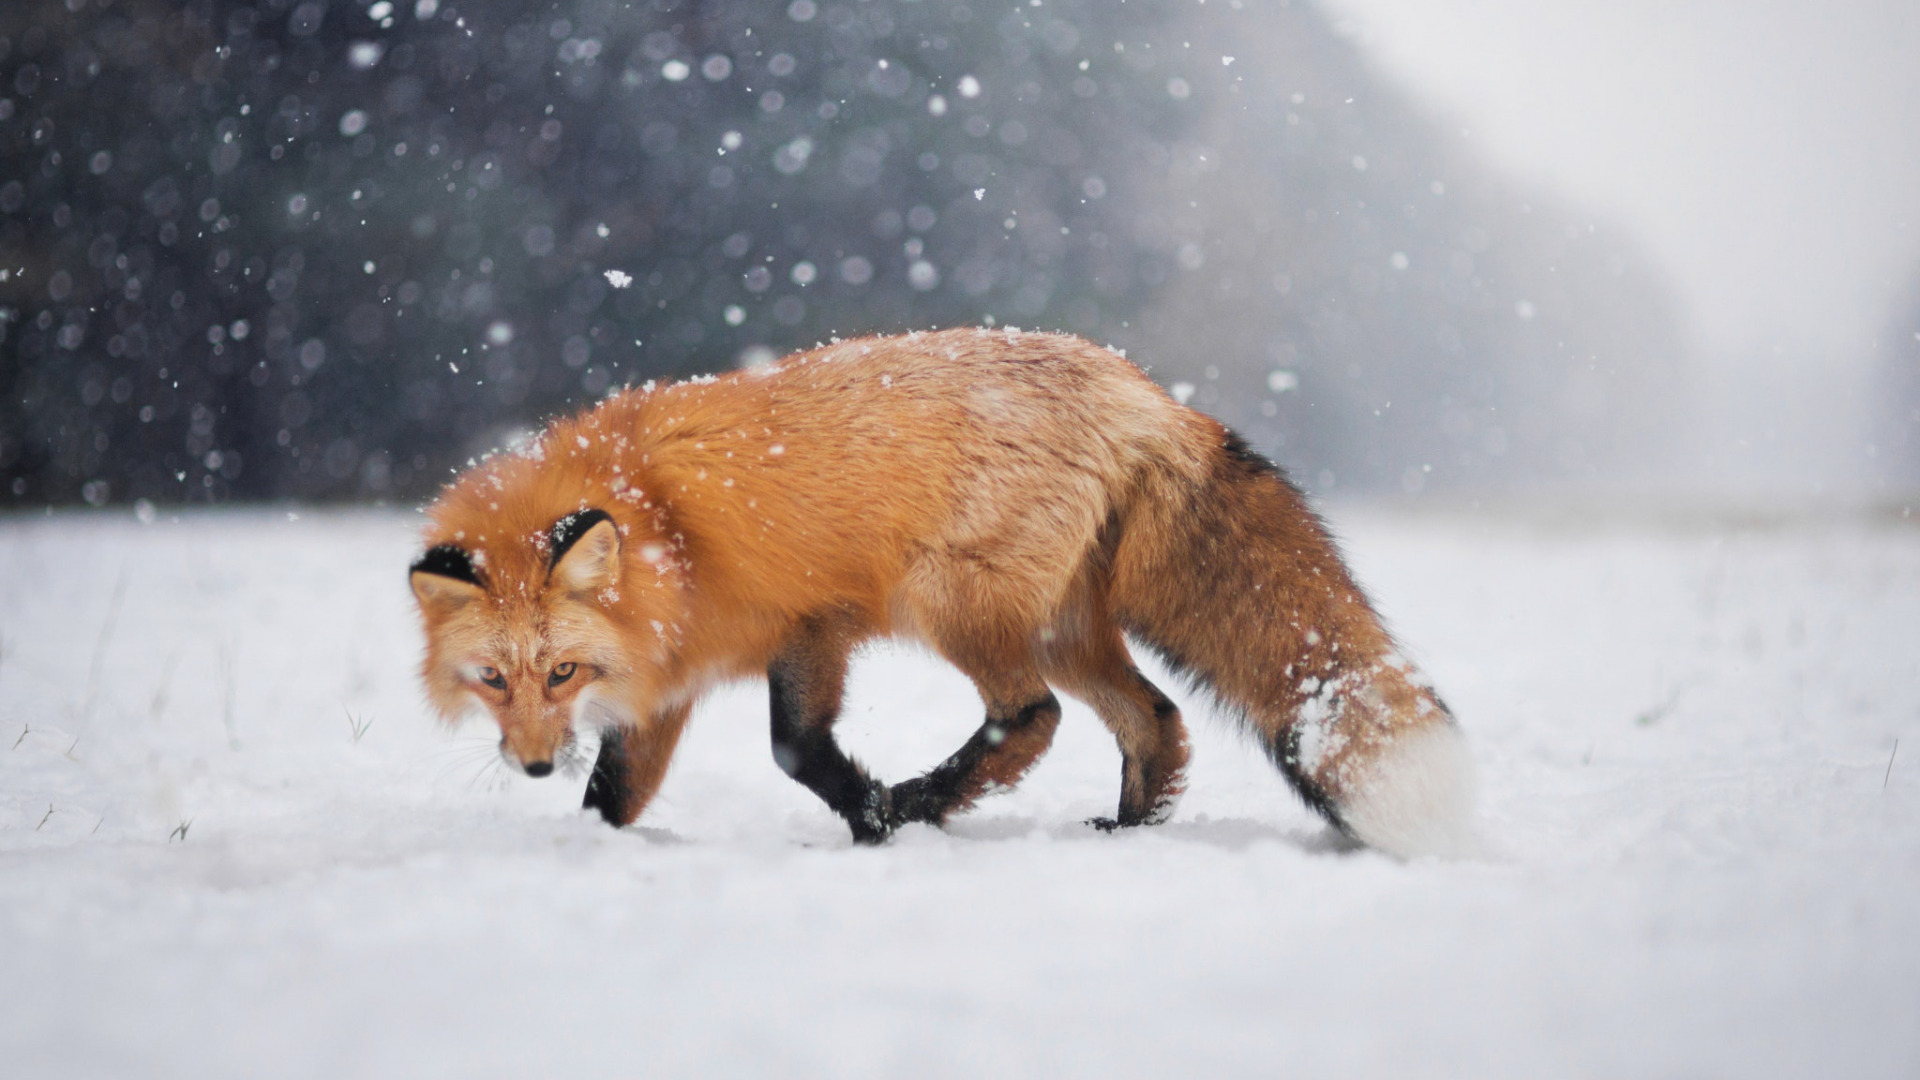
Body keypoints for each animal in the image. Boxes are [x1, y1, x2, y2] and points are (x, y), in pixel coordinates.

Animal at [412, 322, 1474, 853]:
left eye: (560, 672)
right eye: (495, 680)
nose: (531, 766)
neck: (664, 530)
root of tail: (1151, 397)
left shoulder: (814, 623)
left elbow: (795, 748)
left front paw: (874, 816)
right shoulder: (670, 680)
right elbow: (616, 794)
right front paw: (594, 855)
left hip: (952, 604)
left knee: (1035, 717)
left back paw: (929, 800)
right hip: (1059, 627)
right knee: (1155, 721)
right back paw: (1128, 834)